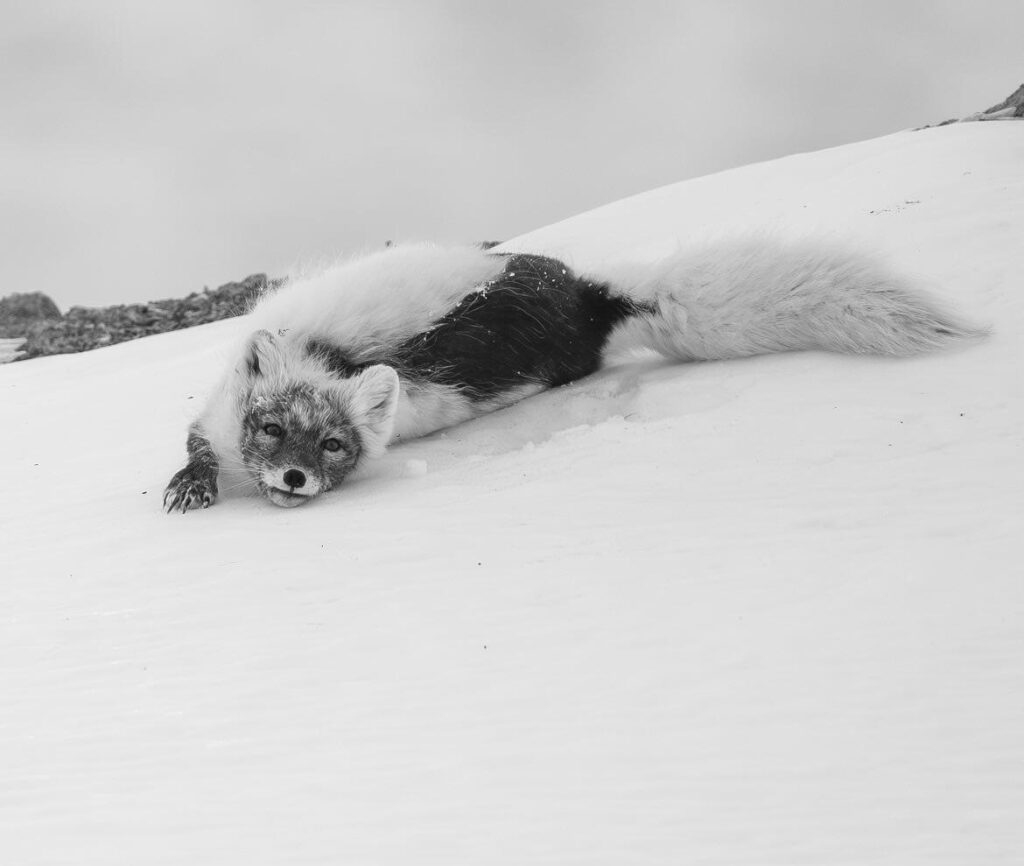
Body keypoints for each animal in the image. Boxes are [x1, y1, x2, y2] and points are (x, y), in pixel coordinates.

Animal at [163, 238, 984, 512]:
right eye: (272, 427)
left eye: (335, 445)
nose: (296, 477)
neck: (332, 355)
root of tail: (595, 295)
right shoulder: (216, 410)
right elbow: (195, 441)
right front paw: (191, 487)